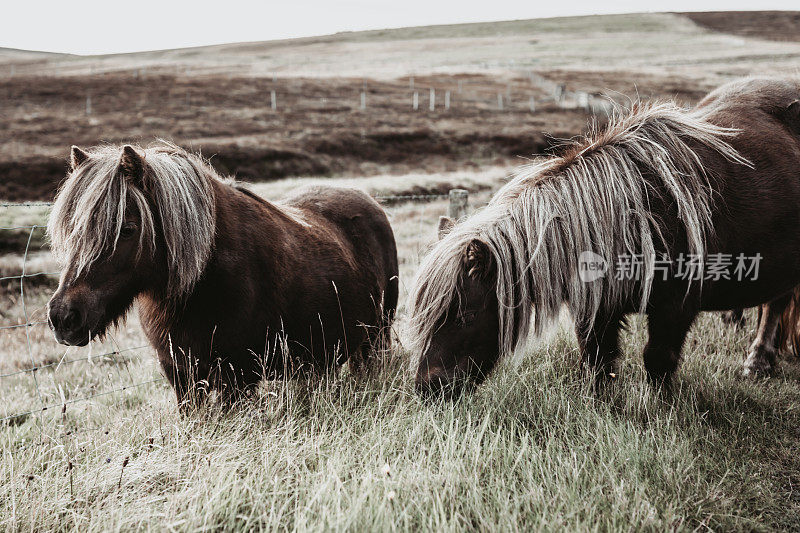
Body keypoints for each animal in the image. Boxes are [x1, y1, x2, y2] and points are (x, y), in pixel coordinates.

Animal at [48, 143, 398, 410]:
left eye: (128, 229)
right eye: (71, 229)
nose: (64, 316)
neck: (206, 281)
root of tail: (368, 201)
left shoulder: (237, 378)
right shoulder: (181, 376)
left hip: (375, 338)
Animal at [410, 78, 800, 394]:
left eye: (465, 316)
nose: (429, 388)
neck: (640, 216)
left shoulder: (677, 307)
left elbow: (658, 360)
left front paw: (661, 412)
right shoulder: (596, 308)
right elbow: (597, 360)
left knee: (776, 305)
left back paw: (758, 361)